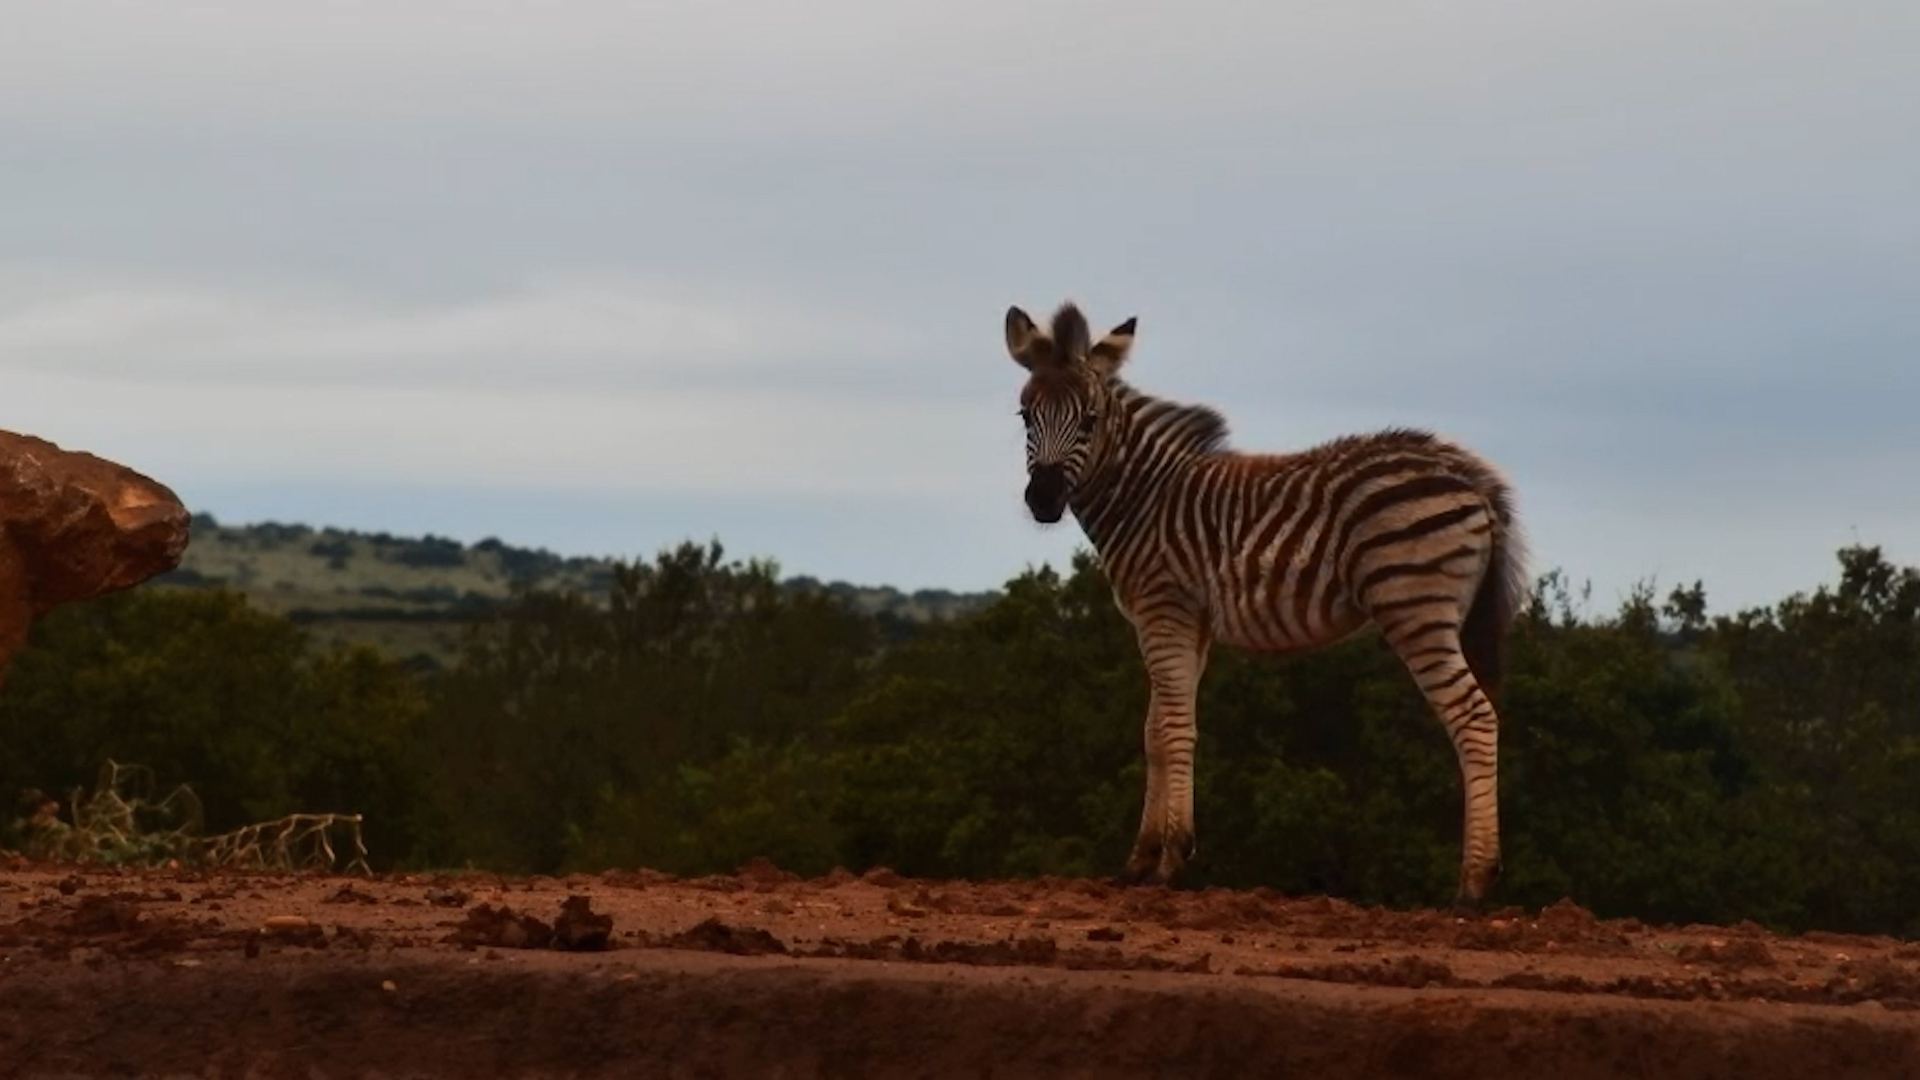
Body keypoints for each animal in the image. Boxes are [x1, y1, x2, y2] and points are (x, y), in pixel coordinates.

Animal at [1001, 300, 1529, 913]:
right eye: (1025, 416)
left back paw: (1473, 885)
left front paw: (1171, 860)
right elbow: (1155, 729)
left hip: (1414, 607)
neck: (1145, 498)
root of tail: (1470, 477)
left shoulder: (1164, 608)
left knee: (1473, 716)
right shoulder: (1190, 622)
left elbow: (1175, 727)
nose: (1043, 500)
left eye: (1088, 419)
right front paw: (1138, 860)